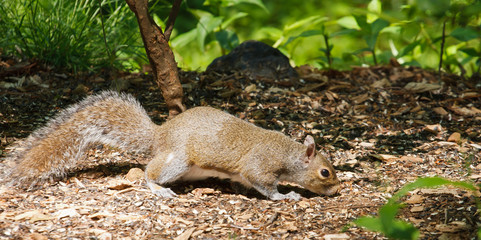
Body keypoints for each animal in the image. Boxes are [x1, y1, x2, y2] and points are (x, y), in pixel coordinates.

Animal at [5, 91, 340, 200]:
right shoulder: (260, 165)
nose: (337, 190)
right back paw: (159, 188)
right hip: (178, 161)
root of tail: (160, 135)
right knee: (148, 172)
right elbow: (263, 183)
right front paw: (285, 196)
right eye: (325, 172)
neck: (288, 154)